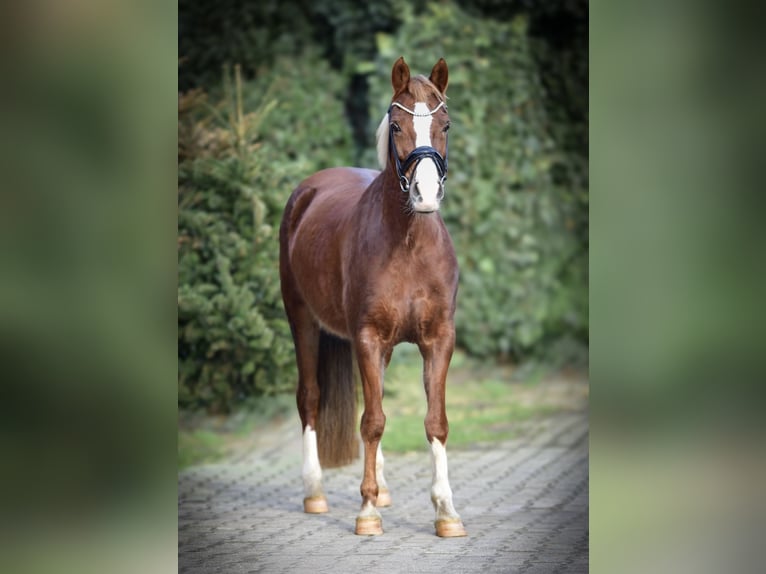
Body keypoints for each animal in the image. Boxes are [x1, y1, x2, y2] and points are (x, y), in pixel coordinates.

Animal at [279, 57, 466, 537]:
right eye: (397, 126)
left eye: (445, 124)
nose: (425, 195)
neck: (408, 244)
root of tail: (307, 191)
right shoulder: (366, 337)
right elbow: (373, 422)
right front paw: (366, 512)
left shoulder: (438, 339)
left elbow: (434, 421)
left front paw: (446, 511)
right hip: (301, 319)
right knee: (311, 398)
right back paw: (316, 493)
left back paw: (380, 488)